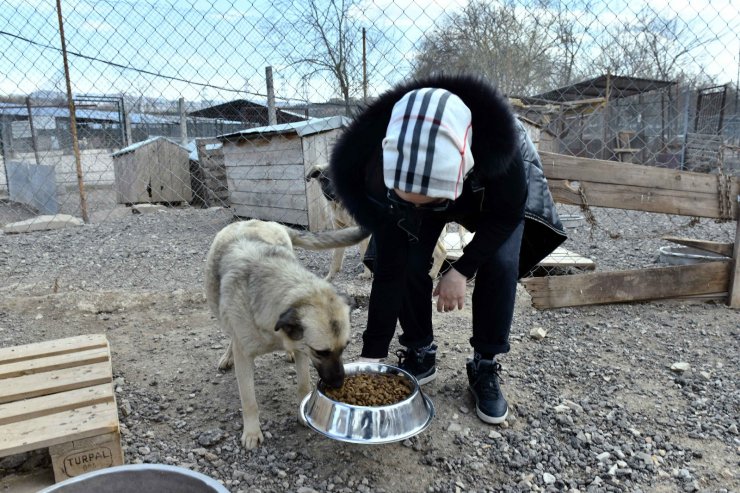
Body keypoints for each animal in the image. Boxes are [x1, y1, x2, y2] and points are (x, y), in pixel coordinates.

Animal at [205, 217, 370, 448]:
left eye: (345, 347)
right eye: (321, 352)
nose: (339, 384)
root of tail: (261, 221)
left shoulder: (303, 349)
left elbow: (303, 384)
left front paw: (303, 411)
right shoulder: (245, 356)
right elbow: (249, 400)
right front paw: (252, 432)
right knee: (230, 334)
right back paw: (228, 355)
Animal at [306, 164, 462, 280]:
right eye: (324, 179)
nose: (331, 194)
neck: (339, 206)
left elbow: (363, 254)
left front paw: (367, 275)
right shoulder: (340, 229)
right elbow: (335, 258)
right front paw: (329, 277)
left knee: (441, 252)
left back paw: (432, 275)